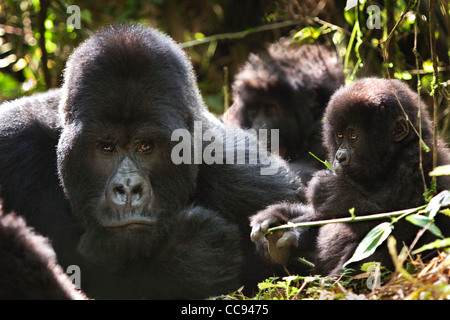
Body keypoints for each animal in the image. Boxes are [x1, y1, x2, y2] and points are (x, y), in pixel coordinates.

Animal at [0, 23, 304, 298]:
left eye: (145, 146)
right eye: (107, 148)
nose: (128, 189)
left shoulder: (250, 181)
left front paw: (285, 227)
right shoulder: (12, 142)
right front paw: (190, 254)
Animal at [251, 77, 450, 276]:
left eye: (353, 136)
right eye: (339, 136)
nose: (339, 157)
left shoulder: (416, 161)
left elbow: (404, 221)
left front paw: (333, 193)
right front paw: (280, 221)